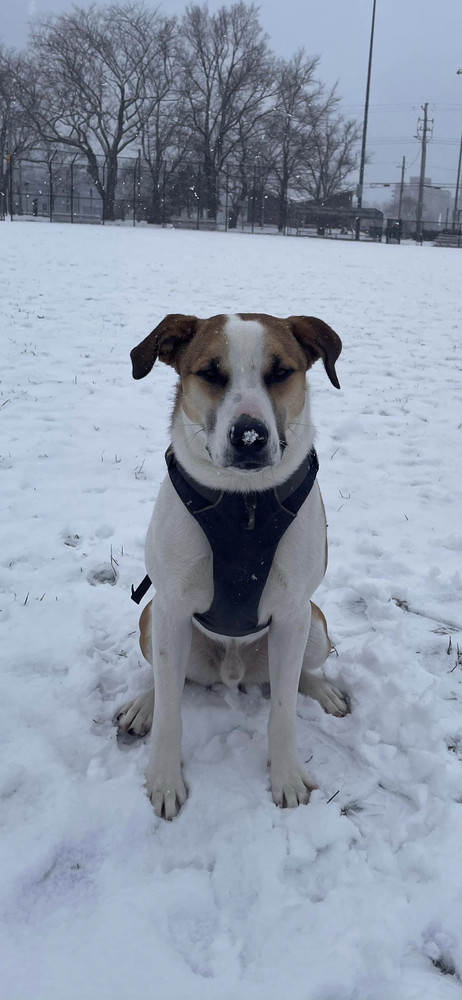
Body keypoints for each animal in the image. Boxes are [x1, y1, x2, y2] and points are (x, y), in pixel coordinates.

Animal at [115, 314, 346, 820]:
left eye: (281, 372)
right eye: (210, 373)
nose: (250, 437)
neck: (243, 502)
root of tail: (233, 671)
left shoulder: (295, 611)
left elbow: (282, 709)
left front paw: (286, 777)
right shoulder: (171, 606)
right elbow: (171, 710)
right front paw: (165, 779)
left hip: (317, 625)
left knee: (293, 674)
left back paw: (322, 690)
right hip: (151, 618)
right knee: (169, 679)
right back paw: (144, 705)